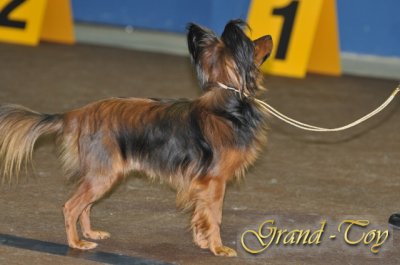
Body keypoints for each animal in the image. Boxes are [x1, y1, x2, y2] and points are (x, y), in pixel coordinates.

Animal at [0, 20, 272, 256]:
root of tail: (78, 113)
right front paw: (218, 248)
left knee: (84, 206)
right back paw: (76, 243)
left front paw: (202, 243)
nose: (269, 36)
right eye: (253, 44)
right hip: (104, 176)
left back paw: (90, 234)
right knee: (71, 207)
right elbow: (214, 217)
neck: (227, 106)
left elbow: (200, 216)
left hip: (101, 176)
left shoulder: (201, 185)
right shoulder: (215, 183)